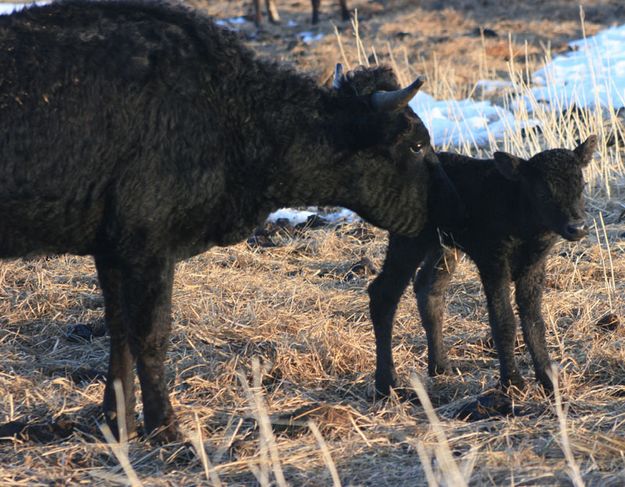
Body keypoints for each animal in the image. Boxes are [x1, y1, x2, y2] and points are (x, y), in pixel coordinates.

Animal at [0, 0, 458, 442]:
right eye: (416, 145)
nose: (447, 206)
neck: (230, 111)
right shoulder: (148, 244)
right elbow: (151, 334)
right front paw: (167, 428)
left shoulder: (112, 248)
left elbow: (120, 334)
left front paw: (118, 424)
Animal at [368, 138, 596, 400]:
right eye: (543, 193)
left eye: (582, 186)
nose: (577, 227)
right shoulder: (493, 261)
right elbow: (503, 320)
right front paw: (513, 384)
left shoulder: (534, 267)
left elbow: (534, 321)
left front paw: (549, 381)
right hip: (408, 241)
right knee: (384, 293)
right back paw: (386, 384)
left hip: (444, 246)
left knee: (428, 288)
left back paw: (441, 367)